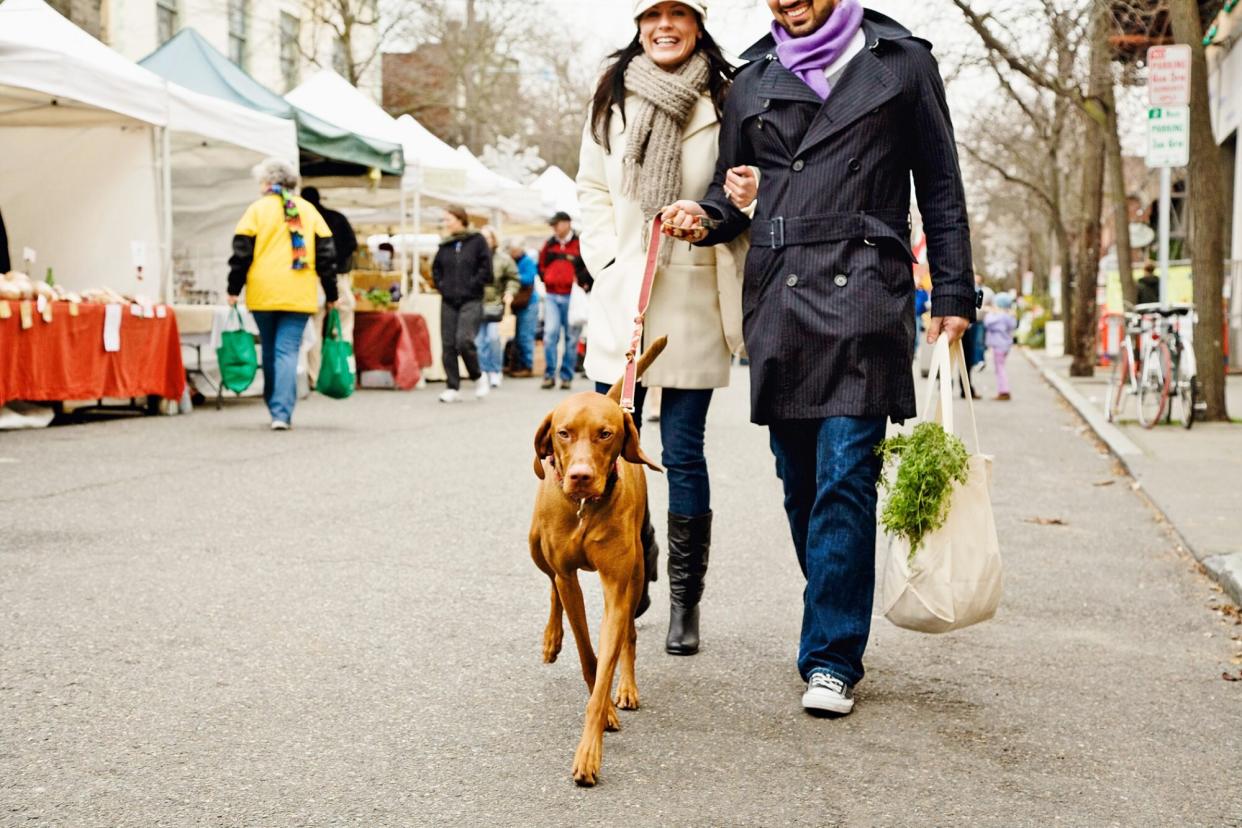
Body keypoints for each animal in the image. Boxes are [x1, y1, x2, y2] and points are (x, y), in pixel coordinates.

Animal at [531, 332, 670, 789]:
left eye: (605, 434)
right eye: (564, 433)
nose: (579, 477)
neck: (584, 510)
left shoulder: (617, 586)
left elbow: (607, 657)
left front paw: (592, 745)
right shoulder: (568, 576)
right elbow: (588, 656)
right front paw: (603, 707)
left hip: (639, 573)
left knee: (630, 636)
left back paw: (626, 688)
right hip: (535, 547)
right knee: (551, 586)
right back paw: (551, 639)